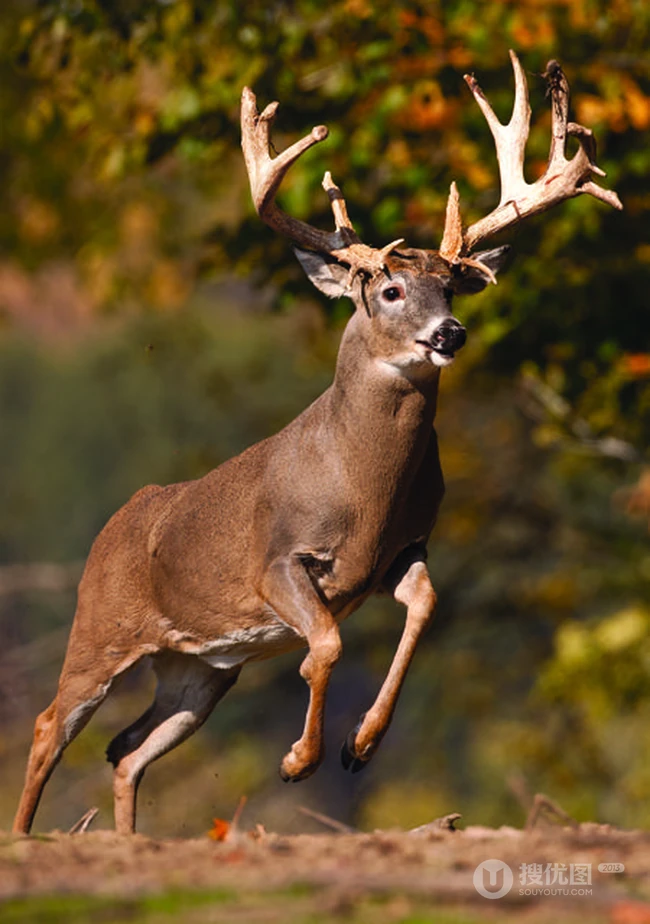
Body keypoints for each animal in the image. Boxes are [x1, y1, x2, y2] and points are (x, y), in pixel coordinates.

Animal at [13, 52, 621, 835]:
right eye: (390, 290)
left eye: (453, 289)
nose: (450, 333)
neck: (363, 489)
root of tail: (111, 529)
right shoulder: (278, 562)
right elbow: (326, 643)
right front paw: (299, 761)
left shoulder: (403, 548)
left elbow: (425, 606)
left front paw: (359, 746)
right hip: (101, 629)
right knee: (49, 724)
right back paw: (28, 837)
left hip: (201, 669)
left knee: (125, 747)